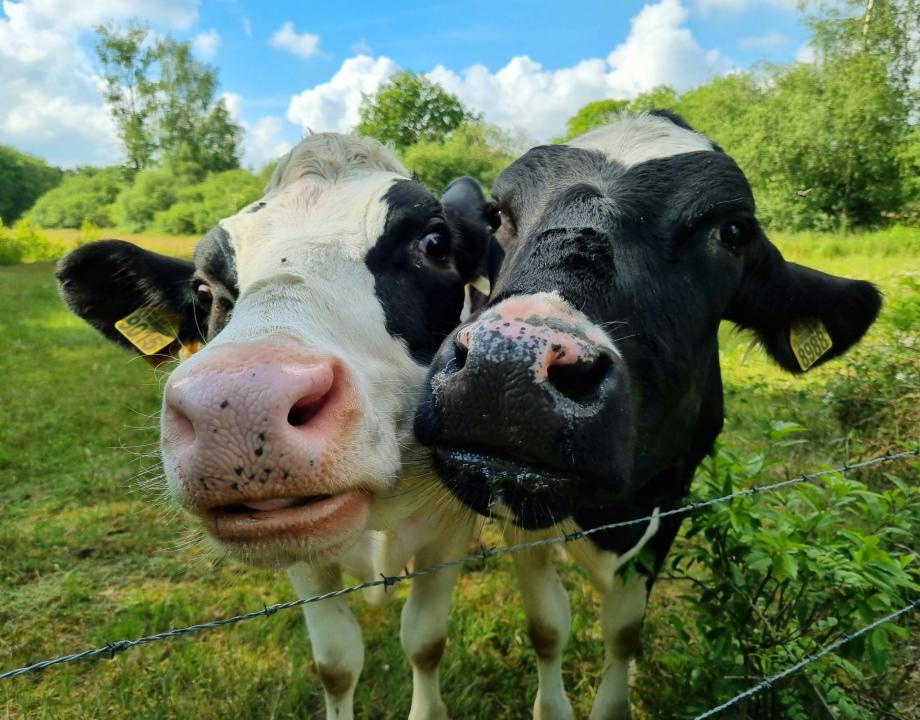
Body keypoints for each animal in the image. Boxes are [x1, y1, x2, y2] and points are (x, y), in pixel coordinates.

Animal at [56, 133, 501, 720]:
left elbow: (424, 641)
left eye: (433, 243)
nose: (239, 406)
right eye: (203, 291)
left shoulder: (448, 530)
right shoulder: (306, 564)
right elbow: (337, 663)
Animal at [414, 112, 881, 720]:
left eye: (733, 232)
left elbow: (624, 633)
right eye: (498, 215)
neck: (614, 516)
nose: (506, 365)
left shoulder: (672, 495)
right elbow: (547, 627)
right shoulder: (510, 497)